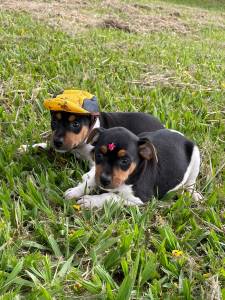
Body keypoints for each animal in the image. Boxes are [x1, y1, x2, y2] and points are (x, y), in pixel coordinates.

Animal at [73, 125, 202, 207]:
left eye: (125, 161)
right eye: (99, 155)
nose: (104, 180)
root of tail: (183, 137)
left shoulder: (140, 199)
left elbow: (111, 196)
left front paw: (91, 201)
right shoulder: (98, 173)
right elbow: (91, 180)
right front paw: (75, 191)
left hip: (196, 156)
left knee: (190, 183)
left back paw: (193, 195)